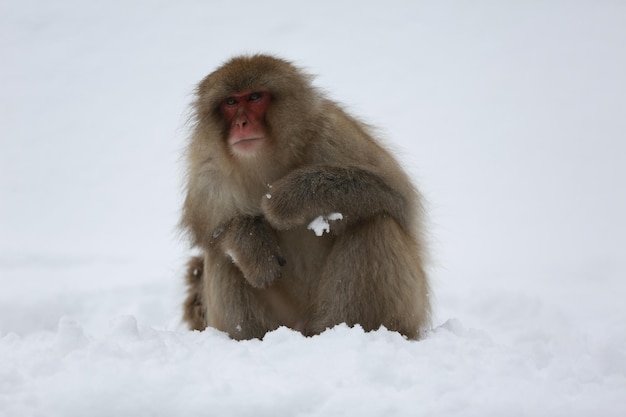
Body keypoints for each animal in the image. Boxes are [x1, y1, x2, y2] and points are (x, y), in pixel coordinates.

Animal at [178, 53, 426, 340]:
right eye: (231, 102)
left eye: (255, 97)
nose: (241, 124)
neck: (266, 160)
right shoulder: (208, 172)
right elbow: (209, 231)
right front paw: (250, 242)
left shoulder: (330, 132)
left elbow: (399, 196)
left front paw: (289, 198)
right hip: (281, 319)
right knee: (220, 254)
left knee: (376, 223)